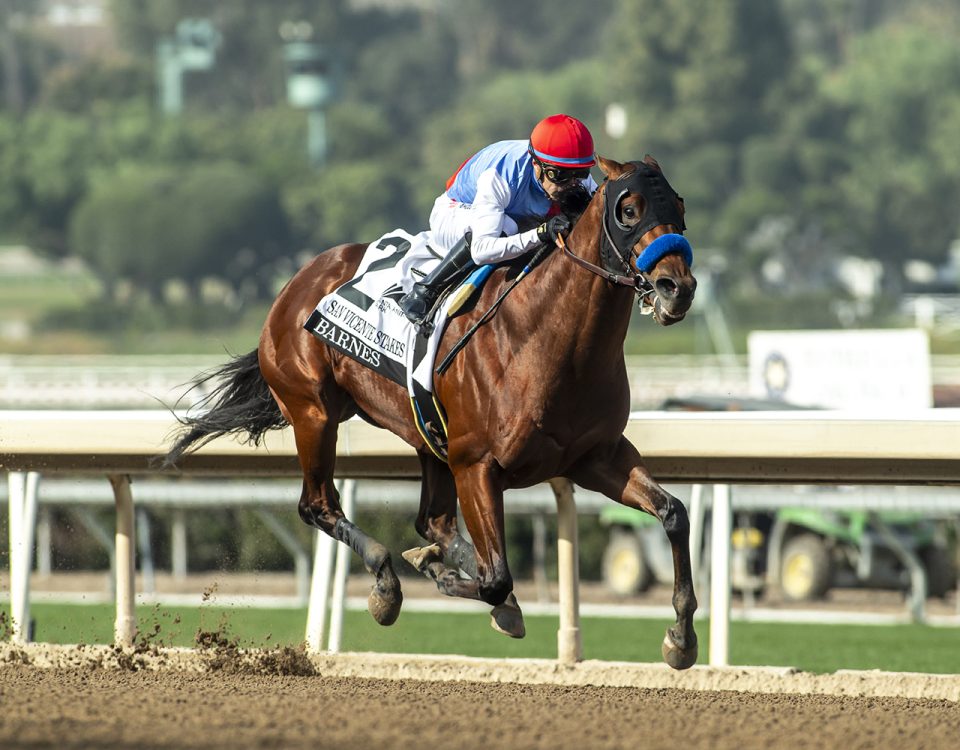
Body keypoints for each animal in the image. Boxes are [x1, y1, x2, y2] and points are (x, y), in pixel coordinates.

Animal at [167, 156, 696, 672]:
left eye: (679, 205)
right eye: (628, 210)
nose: (678, 288)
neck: (545, 341)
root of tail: (298, 281)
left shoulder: (596, 458)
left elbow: (674, 513)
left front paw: (681, 637)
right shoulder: (477, 464)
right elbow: (496, 578)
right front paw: (440, 576)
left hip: (427, 438)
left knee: (432, 521)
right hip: (314, 413)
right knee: (318, 505)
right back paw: (387, 582)